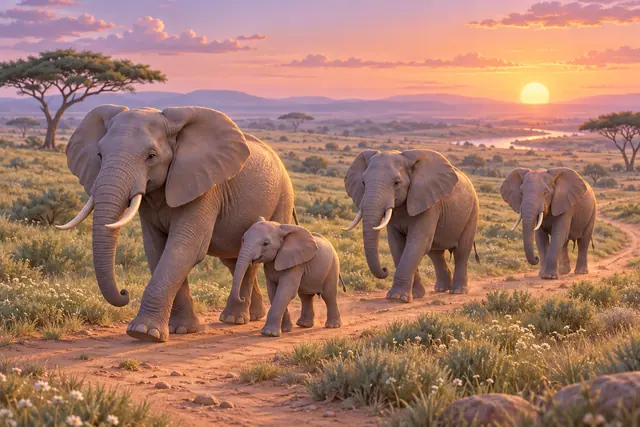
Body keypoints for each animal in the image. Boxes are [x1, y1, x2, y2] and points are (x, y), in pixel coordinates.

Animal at [58, 105, 295, 342]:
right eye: (99, 155)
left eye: (151, 156)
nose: (125, 292)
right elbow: (156, 248)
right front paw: (181, 329)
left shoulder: (204, 187)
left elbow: (184, 249)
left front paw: (144, 333)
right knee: (233, 260)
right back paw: (252, 316)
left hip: (283, 198)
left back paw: (234, 319)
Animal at [344, 149, 479, 300]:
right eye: (363, 182)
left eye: (396, 183)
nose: (385, 269)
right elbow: (397, 244)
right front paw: (414, 295)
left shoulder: (429, 203)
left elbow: (417, 242)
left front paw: (397, 297)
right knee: (436, 254)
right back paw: (441, 289)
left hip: (472, 211)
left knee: (461, 251)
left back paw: (458, 291)